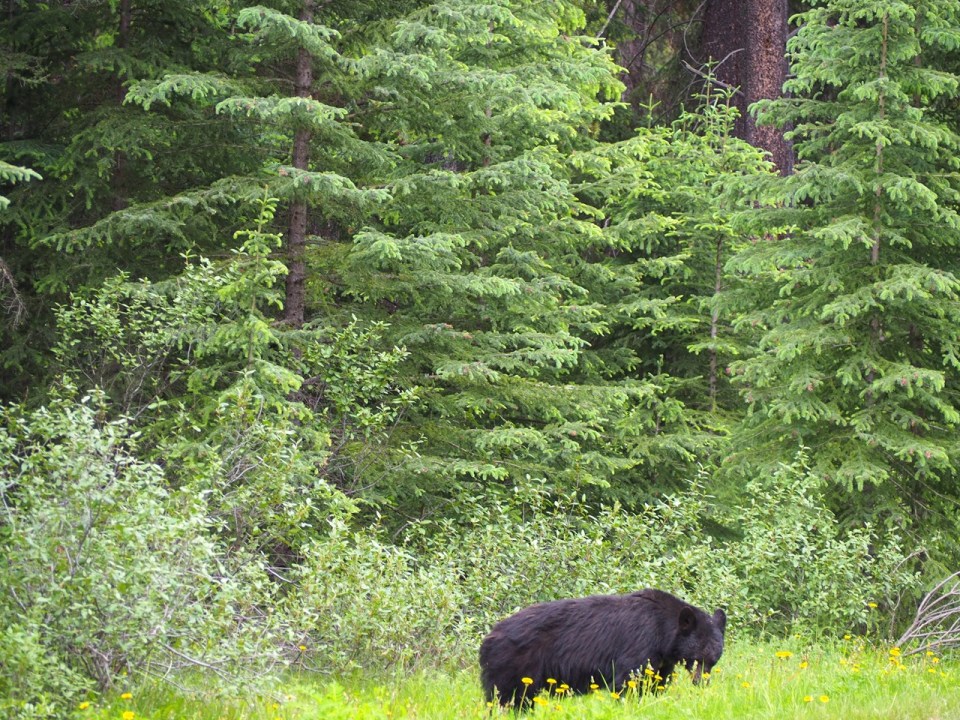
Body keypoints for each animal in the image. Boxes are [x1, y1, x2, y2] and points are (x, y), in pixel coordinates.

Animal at [479, 588, 726, 709]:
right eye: (698, 657)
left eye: (713, 661)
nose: (702, 683)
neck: (664, 634)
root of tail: (489, 637)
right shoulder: (639, 644)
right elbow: (628, 680)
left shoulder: (661, 661)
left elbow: (656, 683)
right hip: (515, 665)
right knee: (509, 698)